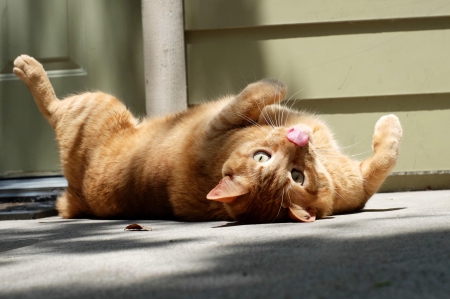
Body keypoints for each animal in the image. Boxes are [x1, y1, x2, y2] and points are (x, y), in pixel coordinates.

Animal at [13, 56, 400, 224]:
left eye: (296, 176)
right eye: (262, 157)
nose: (296, 139)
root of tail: (76, 196)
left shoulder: (358, 183)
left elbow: (385, 160)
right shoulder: (220, 122)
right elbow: (259, 93)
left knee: (52, 109)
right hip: (99, 102)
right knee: (51, 106)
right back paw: (26, 66)